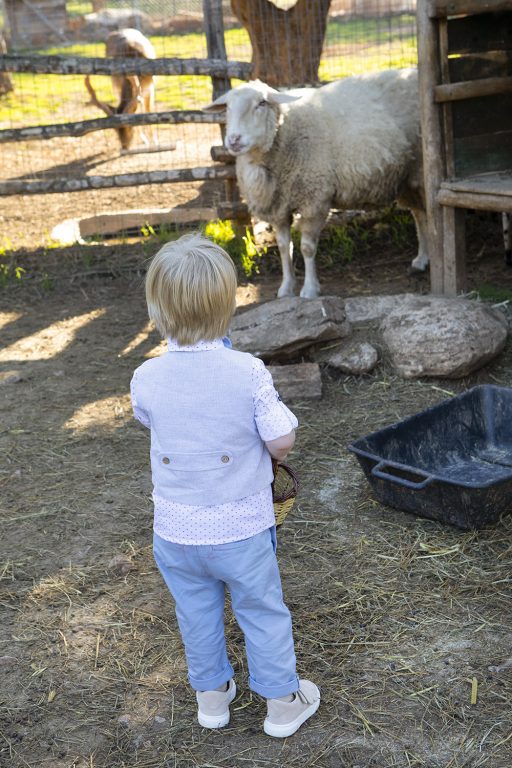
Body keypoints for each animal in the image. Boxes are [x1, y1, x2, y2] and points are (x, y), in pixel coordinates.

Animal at [204, 70, 428, 296]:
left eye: (262, 103)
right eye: (227, 107)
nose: (234, 140)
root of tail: (412, 71)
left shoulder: (315, 199)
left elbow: (307, 247)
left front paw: (310, 289)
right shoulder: (279, 206)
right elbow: (284, 247)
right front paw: (286, 287)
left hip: (420, 169)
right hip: (406, 177)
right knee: (420, 214)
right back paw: (421, 259)